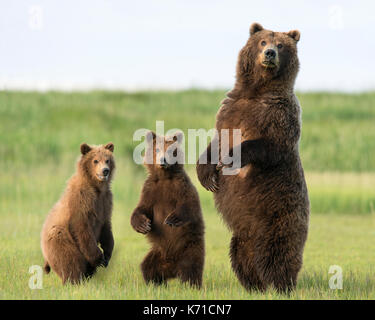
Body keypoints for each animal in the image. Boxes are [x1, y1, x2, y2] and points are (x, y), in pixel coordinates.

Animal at [41, 144, 116, 284]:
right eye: (95, 160)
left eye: (107, 160)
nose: (105, 171)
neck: (96, 188)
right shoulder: (81, 201)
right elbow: (82, 228)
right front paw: (99, 258)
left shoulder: (105, 202)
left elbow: (106, 226)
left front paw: (107, 255)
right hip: (61, 240)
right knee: (70, 261)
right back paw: (74, 280)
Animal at [132, 130, 206, 288]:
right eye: (157, 149)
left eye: (171, 150)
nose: (163, 160)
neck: (164, 177)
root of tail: (172, 268)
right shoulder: (150, 191)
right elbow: (142, 208)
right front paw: (143, 225)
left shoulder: (181, 187)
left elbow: (190, 205)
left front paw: (171, 219)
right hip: (158, 253)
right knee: (148, 267)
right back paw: (156, 284)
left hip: (189, 248)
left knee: (191, 268)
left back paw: (190, 286)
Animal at [197, 22, 312, 292]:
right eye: (262, 42)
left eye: (280, 44)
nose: (270, 53)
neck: (257, 91)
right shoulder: (229, 110)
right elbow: (214, 142)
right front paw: (207, 177)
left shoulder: (279, 115)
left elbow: (270, 145)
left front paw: (231, 158)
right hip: (242, 234)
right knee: (242, 256)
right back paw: (254, 285)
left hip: (279, 217)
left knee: (279, 254)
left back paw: (282, 286)